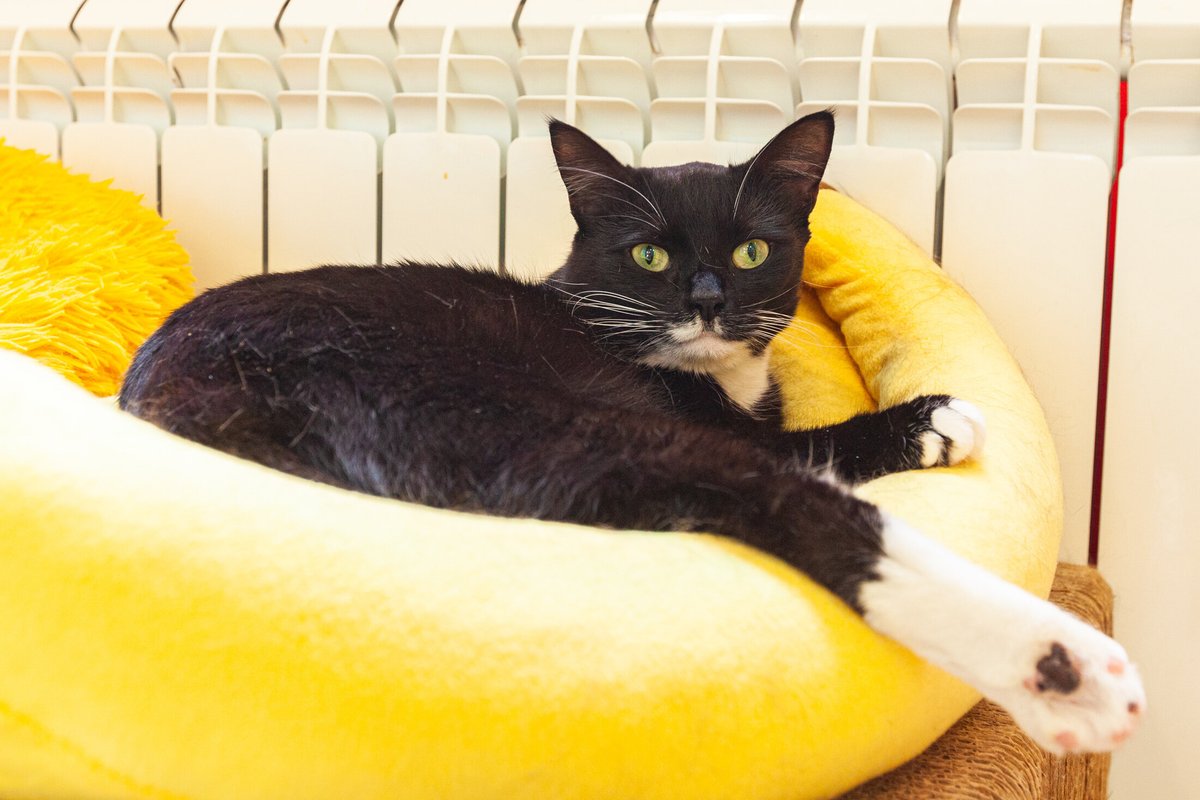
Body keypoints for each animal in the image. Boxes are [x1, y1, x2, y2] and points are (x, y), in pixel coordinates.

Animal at [119, 111, 1143, 754]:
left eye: (752, 248)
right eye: (649, 254)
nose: (707, 301)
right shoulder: (705, 421)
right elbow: (806, 446)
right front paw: (933, 416)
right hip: (519, 419)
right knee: (796, 508)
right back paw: (1065, 671)